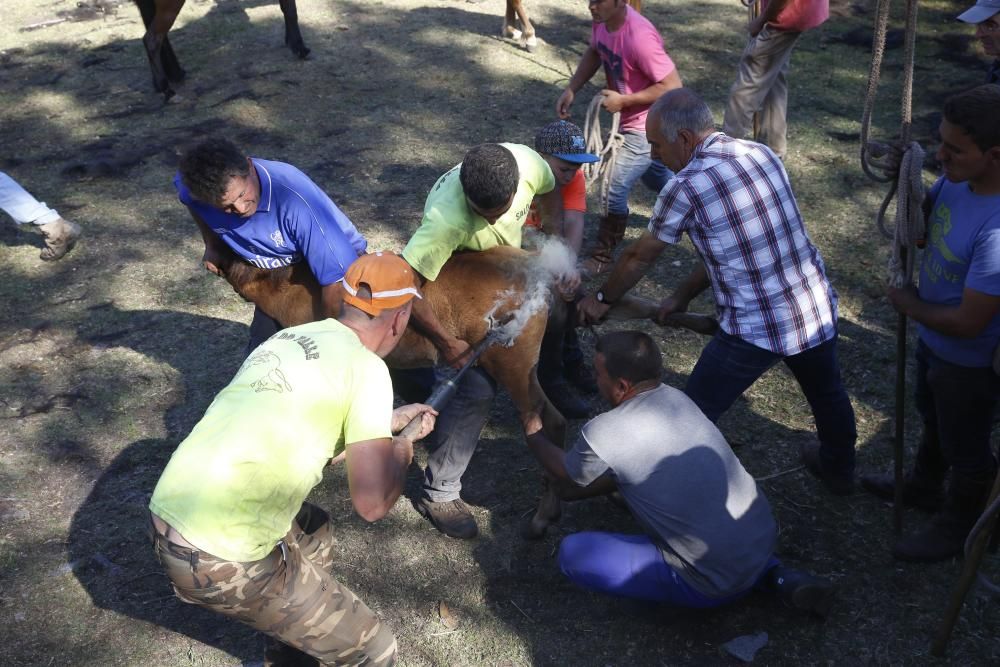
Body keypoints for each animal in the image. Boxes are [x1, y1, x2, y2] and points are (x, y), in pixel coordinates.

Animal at [132, 0, 308, 100]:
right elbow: (290, 10)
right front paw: (299, 47)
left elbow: (288, 8)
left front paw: (293, 42)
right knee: (152, 39)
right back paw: (165, 87)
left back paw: (168, 79)